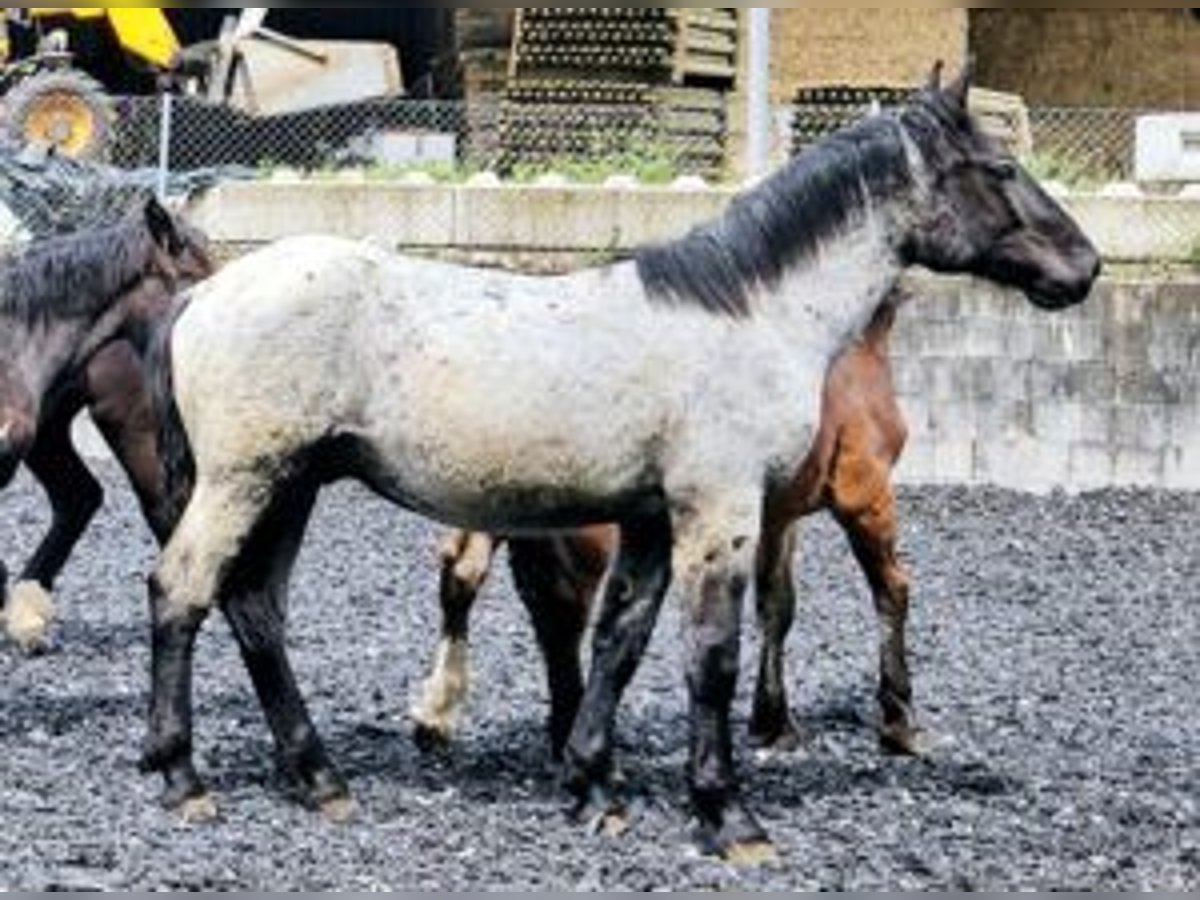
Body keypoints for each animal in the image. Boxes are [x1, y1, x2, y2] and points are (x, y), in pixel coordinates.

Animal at [415, 301, 916, 763]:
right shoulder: (864, 493)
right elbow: (891, 589)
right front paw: (899, 722)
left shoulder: (778, 514)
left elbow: (776, 604)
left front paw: (772, 722)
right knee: (561, 607)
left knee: (470, 572)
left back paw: (440, 717)